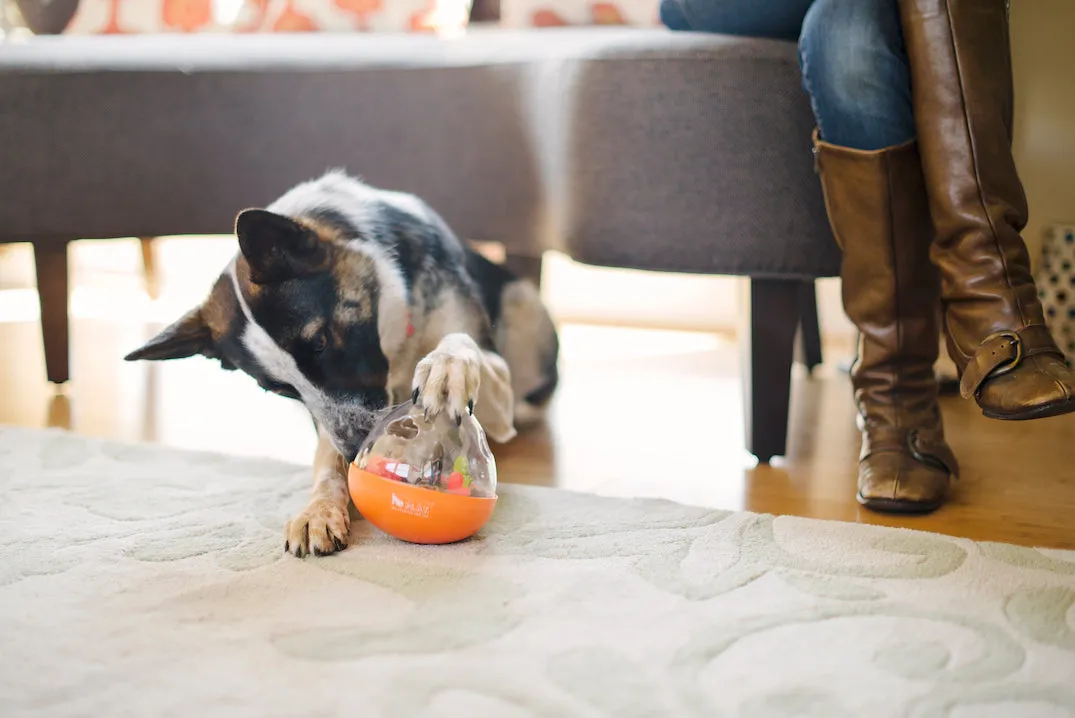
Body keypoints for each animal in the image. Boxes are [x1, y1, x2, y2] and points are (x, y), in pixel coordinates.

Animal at [124, 170, 559, 558]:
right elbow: (325, 461)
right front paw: (318, 509)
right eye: (280, 389)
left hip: (525, 311)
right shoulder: (327, 421)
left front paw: (445, 368)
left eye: (319, 340)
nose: (356, 450)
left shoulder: (493, 376)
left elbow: (460, 346)